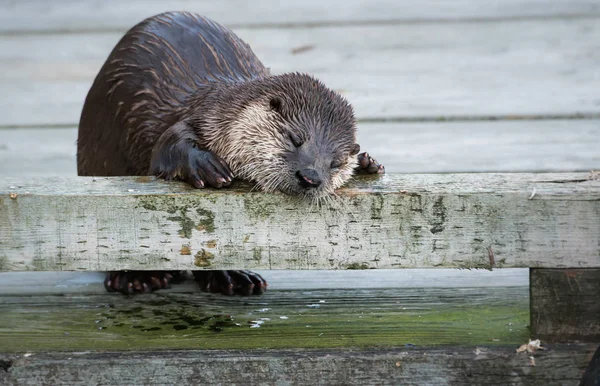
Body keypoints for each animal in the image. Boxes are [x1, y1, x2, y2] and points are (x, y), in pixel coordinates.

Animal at [77, 11, 384, 296]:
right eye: (294, 138)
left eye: (335, 163)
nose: (310, 177)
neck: (227, 114)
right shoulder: (200, 115)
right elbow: (168, 144)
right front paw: (208, 166)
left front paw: (368, 163)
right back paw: (137, 277)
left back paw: (232, 278)